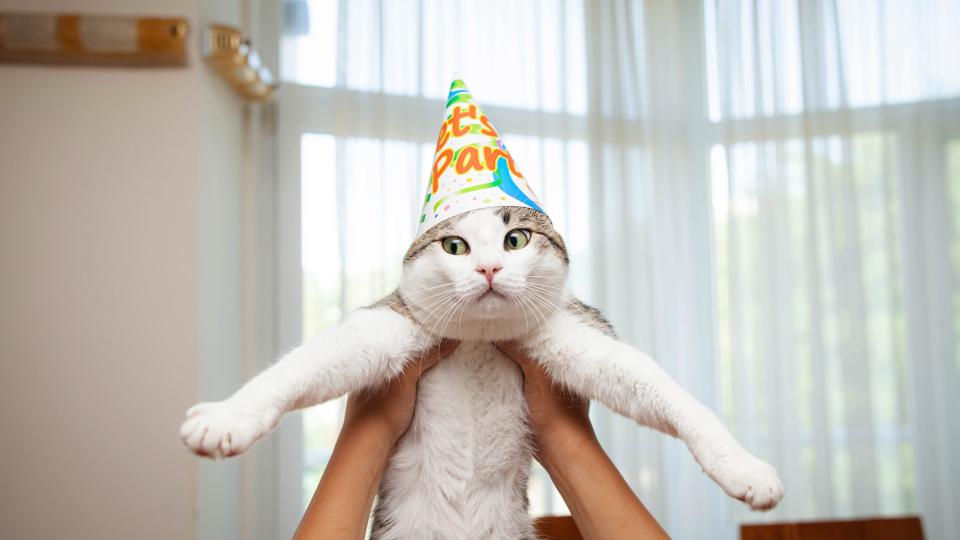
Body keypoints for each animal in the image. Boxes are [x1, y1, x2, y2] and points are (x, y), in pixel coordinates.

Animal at [180, 205, 780, 536]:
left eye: (516, 240)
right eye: (455, 245)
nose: (489, 267)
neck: (478, 344)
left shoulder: (574, 337)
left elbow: (663, 392)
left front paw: (743, 468)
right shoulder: (390, 327)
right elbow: (307, 364)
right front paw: (228, 417)